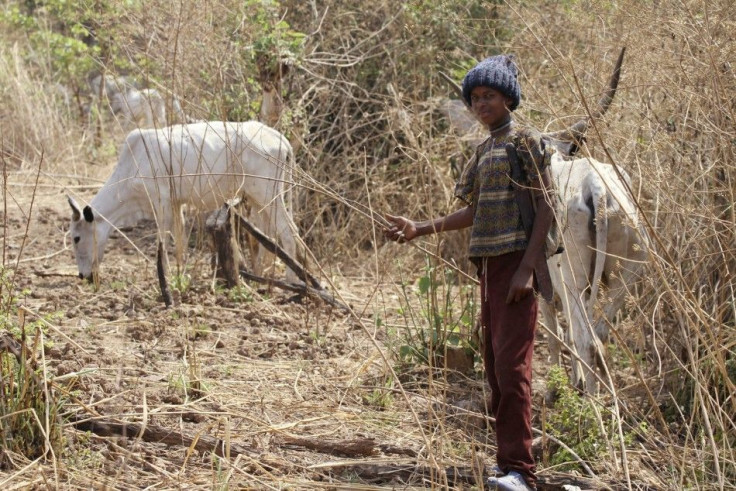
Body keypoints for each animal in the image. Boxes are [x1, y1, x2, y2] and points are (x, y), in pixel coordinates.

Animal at [67, 120, 302, 284]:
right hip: (259, 198)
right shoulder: (175, 204)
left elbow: (162, 239)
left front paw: (165, 275)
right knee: (268, 233)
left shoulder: (161, 202)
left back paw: (291, 280)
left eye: (76, 238)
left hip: (267, 194)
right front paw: (181, 272)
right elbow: (179, 240)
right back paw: (261, 274)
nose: (82, 275)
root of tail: (280, 139)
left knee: (288, 231)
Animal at [540, 155, 648, 396]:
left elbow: (555, 336)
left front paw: (552, 390)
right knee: (598, 335)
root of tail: (596, 184)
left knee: (586, 341)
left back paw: (590, 401)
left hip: (573, 283)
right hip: (630, 270)